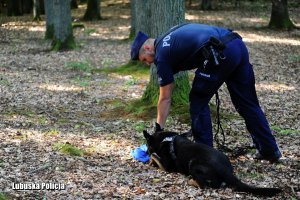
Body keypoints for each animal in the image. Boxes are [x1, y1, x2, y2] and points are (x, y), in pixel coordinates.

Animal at [143, 130, 282, 197]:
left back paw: (191, 181)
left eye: (147, 145)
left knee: (206, 185)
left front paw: (150, 160)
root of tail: (225, 171)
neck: (165, 139)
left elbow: (155, 156)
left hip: (193, 164)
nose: (145, 151)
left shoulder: (166, 166)